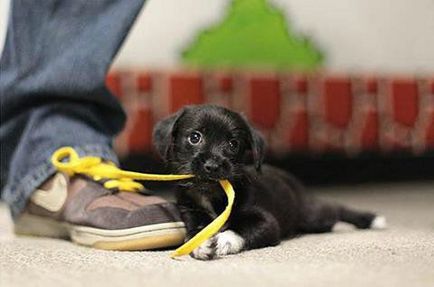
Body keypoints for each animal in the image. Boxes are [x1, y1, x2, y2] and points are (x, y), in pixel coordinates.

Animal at [153, 105, 386, 260]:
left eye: (233, 144)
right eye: (194, 137)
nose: (213, 165)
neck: (212, 195)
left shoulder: (268, 223)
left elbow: (243, 230)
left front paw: (224, 240)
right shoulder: (190, 212)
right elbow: (194, 232)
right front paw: (200, 244)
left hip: (313, 215)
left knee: (334, 210)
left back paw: (368, 219)